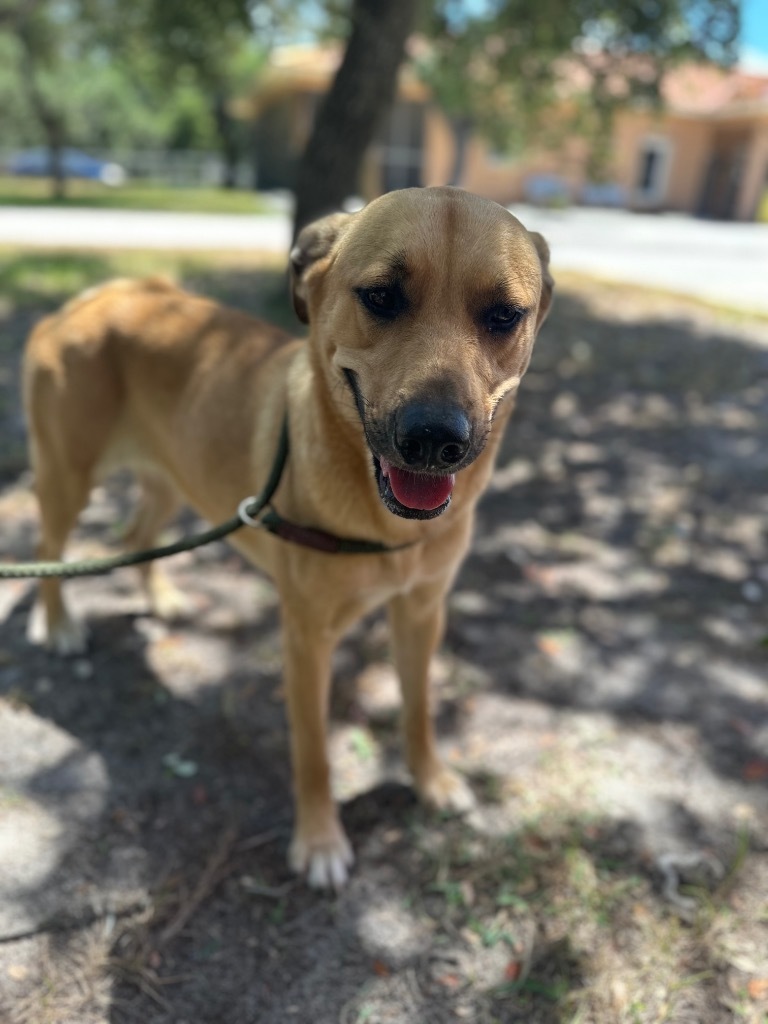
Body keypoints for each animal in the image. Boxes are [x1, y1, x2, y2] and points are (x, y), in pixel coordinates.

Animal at [22, 186, 552, 888]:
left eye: (503, 315)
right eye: (381, 296)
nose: (435, 440)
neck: (377, 518)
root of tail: (91, 298)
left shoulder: (421, 612)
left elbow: (418, 711)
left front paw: (431, 781)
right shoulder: (307, 640)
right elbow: (314, 751)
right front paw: (320, 840)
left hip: (172, 476)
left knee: (137, 531)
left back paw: (160, 598)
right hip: (68, 477)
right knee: (47, 550)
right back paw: (57, 624)